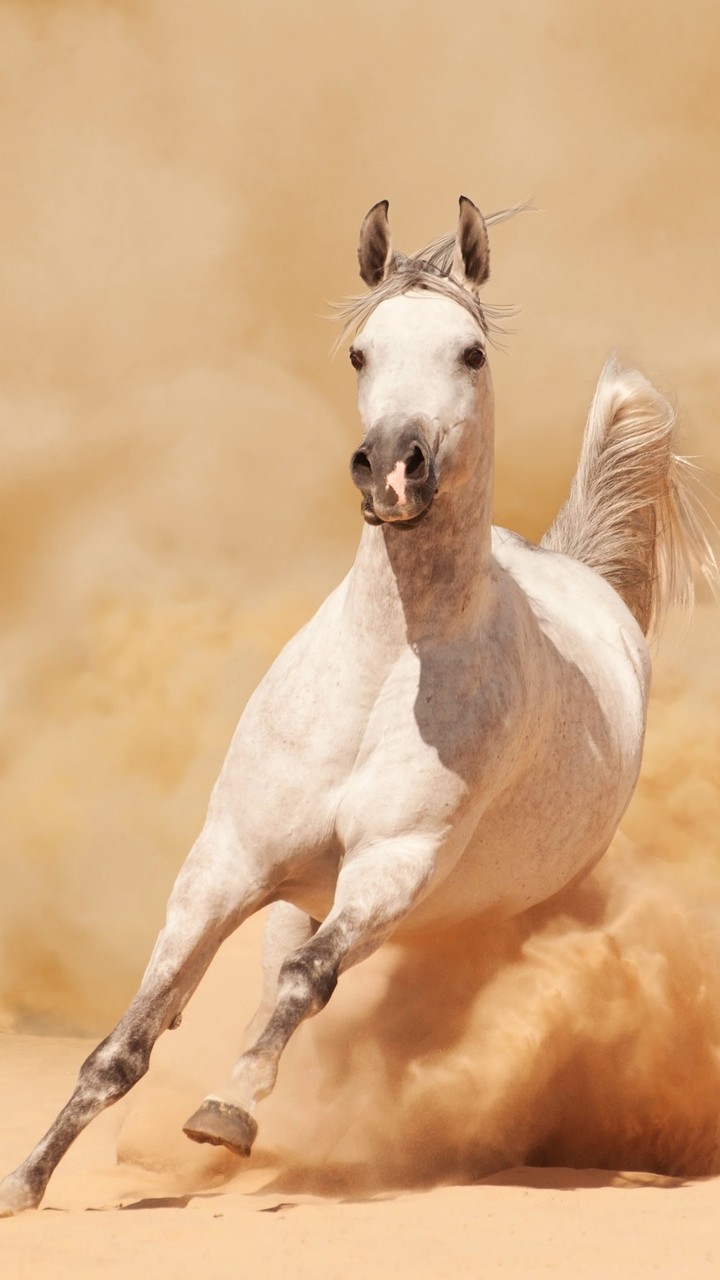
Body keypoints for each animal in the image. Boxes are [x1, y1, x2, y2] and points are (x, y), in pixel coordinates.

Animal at [1, 196, 716, 1216]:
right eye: (359, 353)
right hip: (300, 891)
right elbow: (127, 1042)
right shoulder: (227, 861)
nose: (392, 470)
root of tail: (581, 572)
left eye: (471, 352)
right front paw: (26, 1181)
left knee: (313, 978)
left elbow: (306, 984)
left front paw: (223, 1114)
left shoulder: (392, 866)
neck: (387, 670)